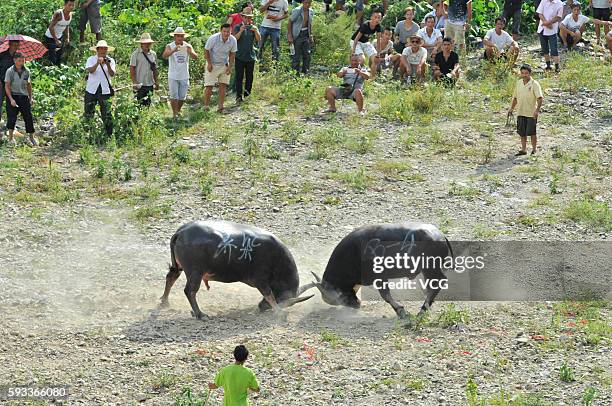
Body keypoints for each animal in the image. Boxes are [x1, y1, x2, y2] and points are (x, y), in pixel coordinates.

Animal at [160, 220, 314, 318]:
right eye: (283, 299)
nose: (261, 307)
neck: (277, 259)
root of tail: (181, 232)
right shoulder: (261, 280)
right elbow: (268, 294)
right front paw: (278, 311)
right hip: (195, 272)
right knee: (190, 291)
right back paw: (200, 314)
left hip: (179, 267)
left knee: (171, 278)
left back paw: (164, 302)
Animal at [302, 222, 454, 320]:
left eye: (340, 295)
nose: (357, 305)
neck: (354, 253)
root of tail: (441, 236)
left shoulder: (380, 278)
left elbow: (385, 295)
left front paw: (401, 311)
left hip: (430, 269)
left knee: (438, 283)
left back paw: (422, 311)